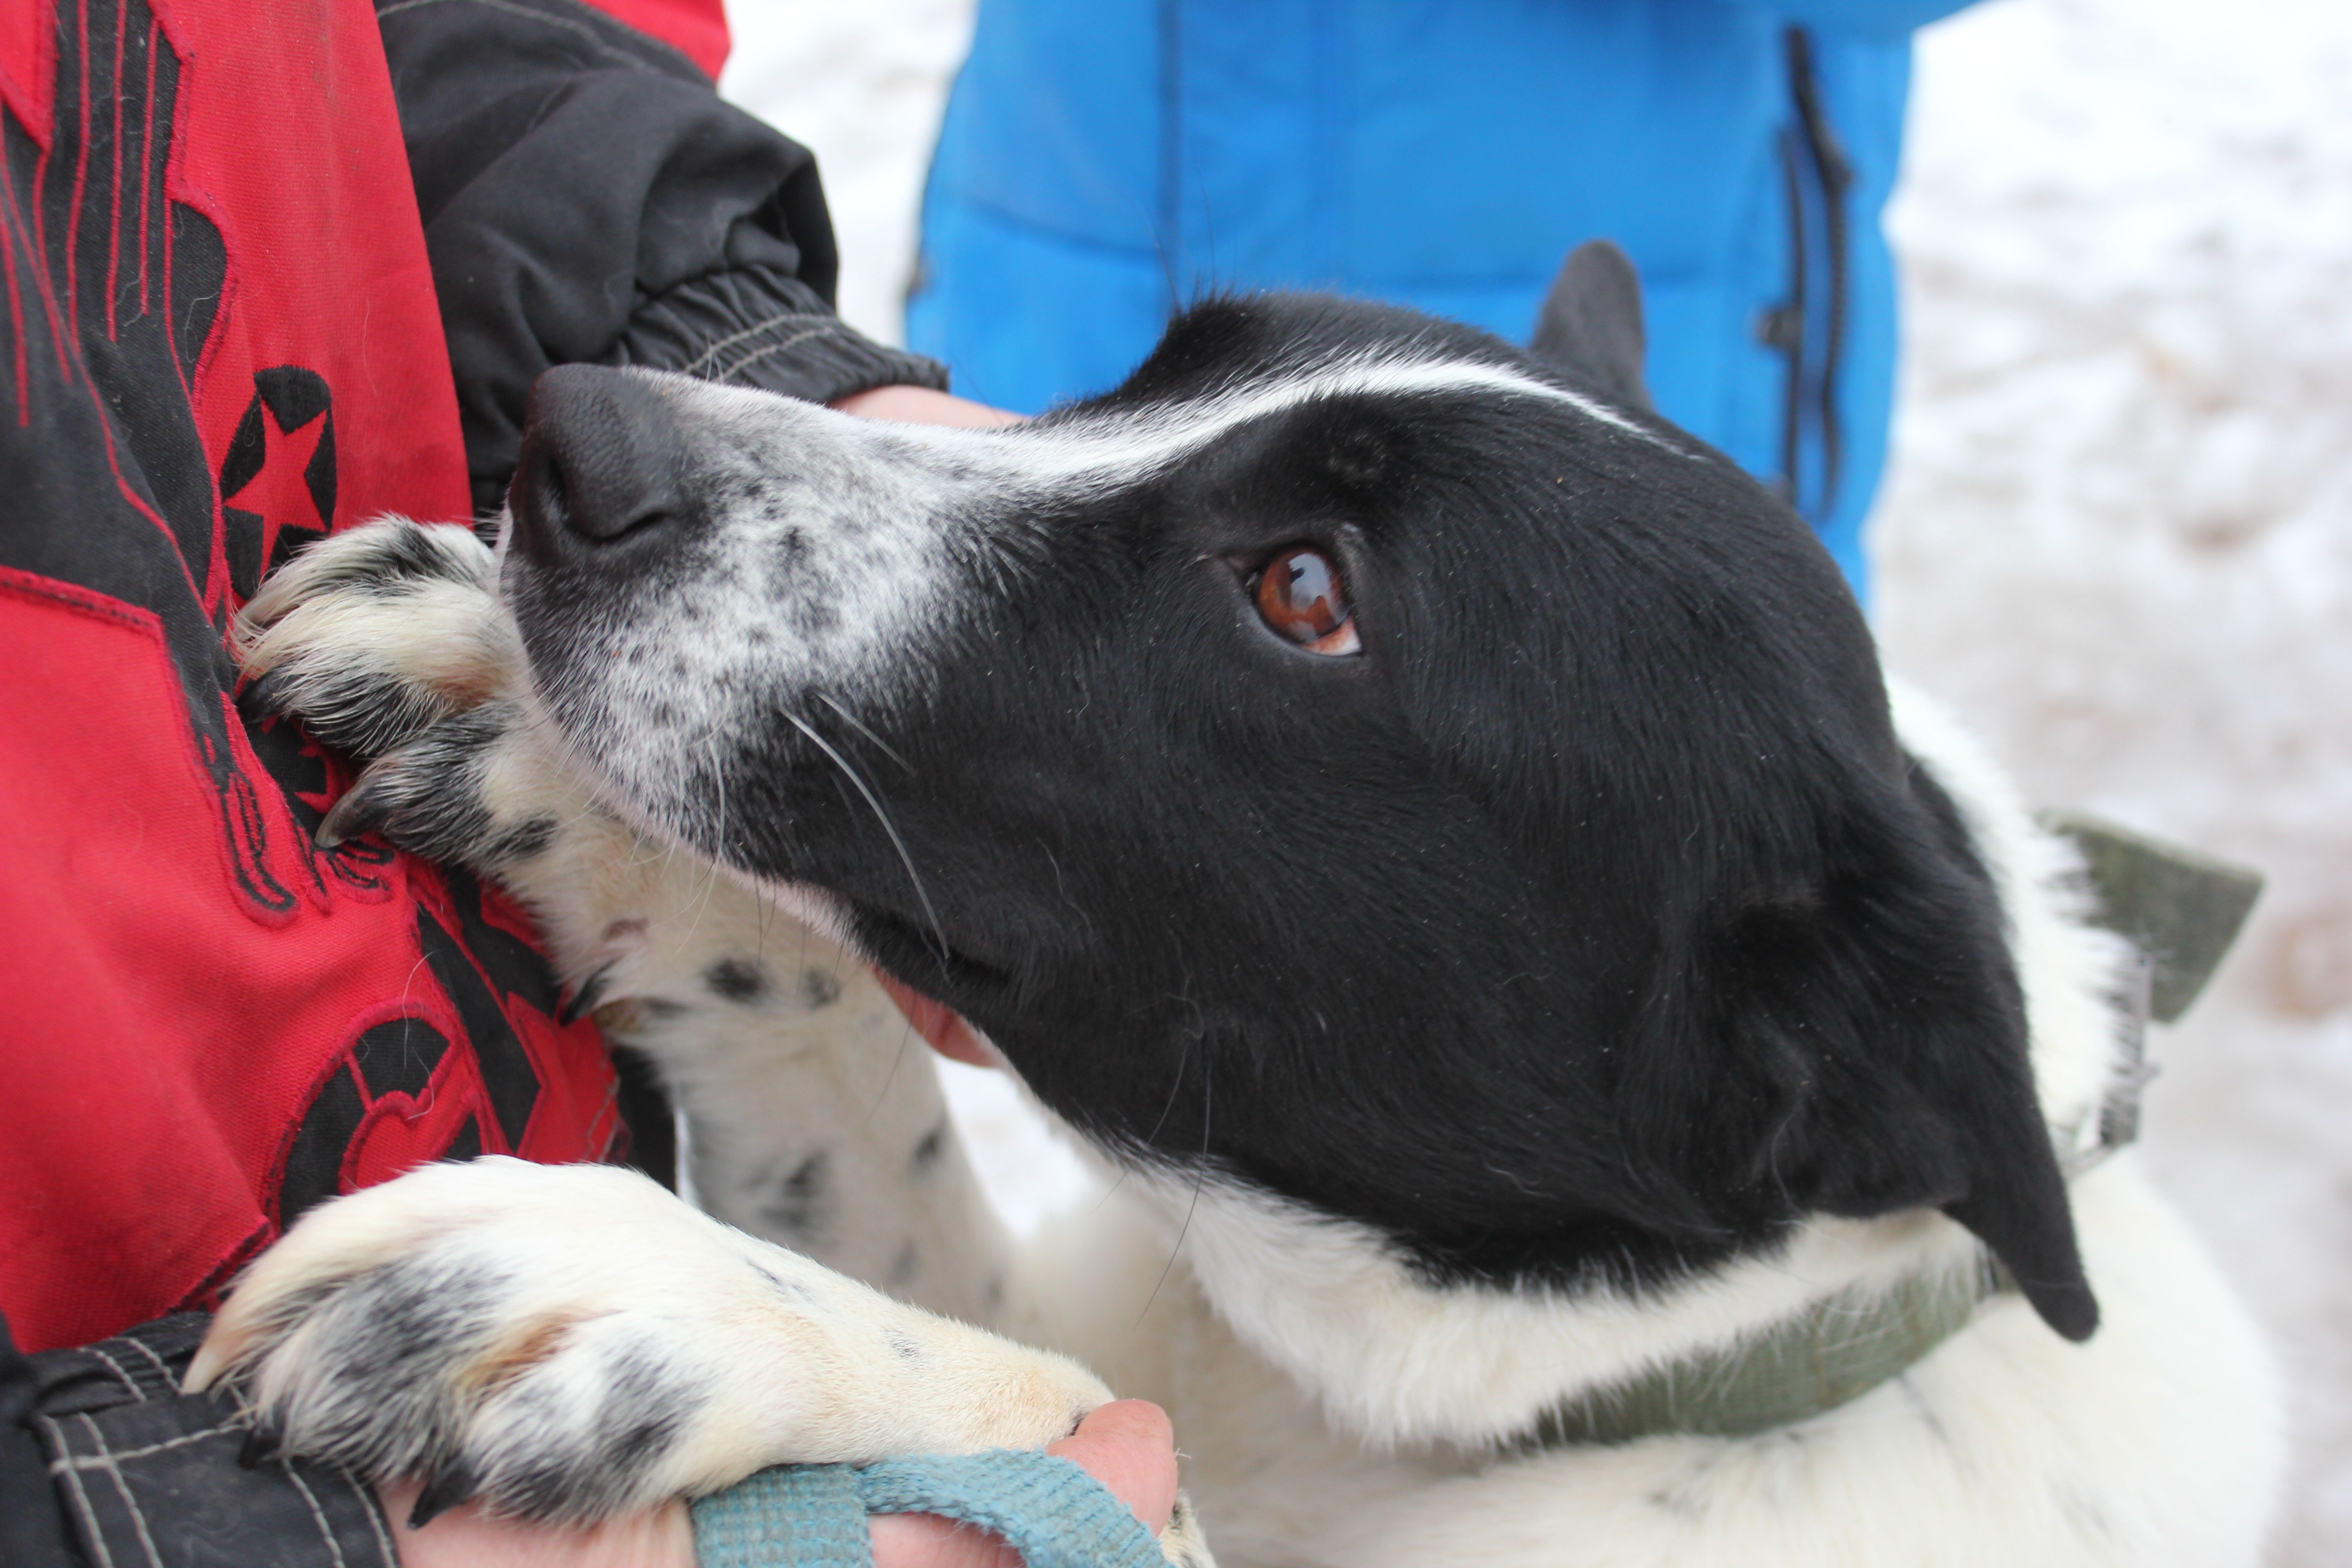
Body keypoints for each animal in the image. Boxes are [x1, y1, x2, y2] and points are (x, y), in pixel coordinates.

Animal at [197, 251, 2277, 1561]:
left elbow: (1061, 1417)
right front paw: (545, 755)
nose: (575, 442)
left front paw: (671, 1297)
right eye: (1161, 366)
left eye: (1305, 591)